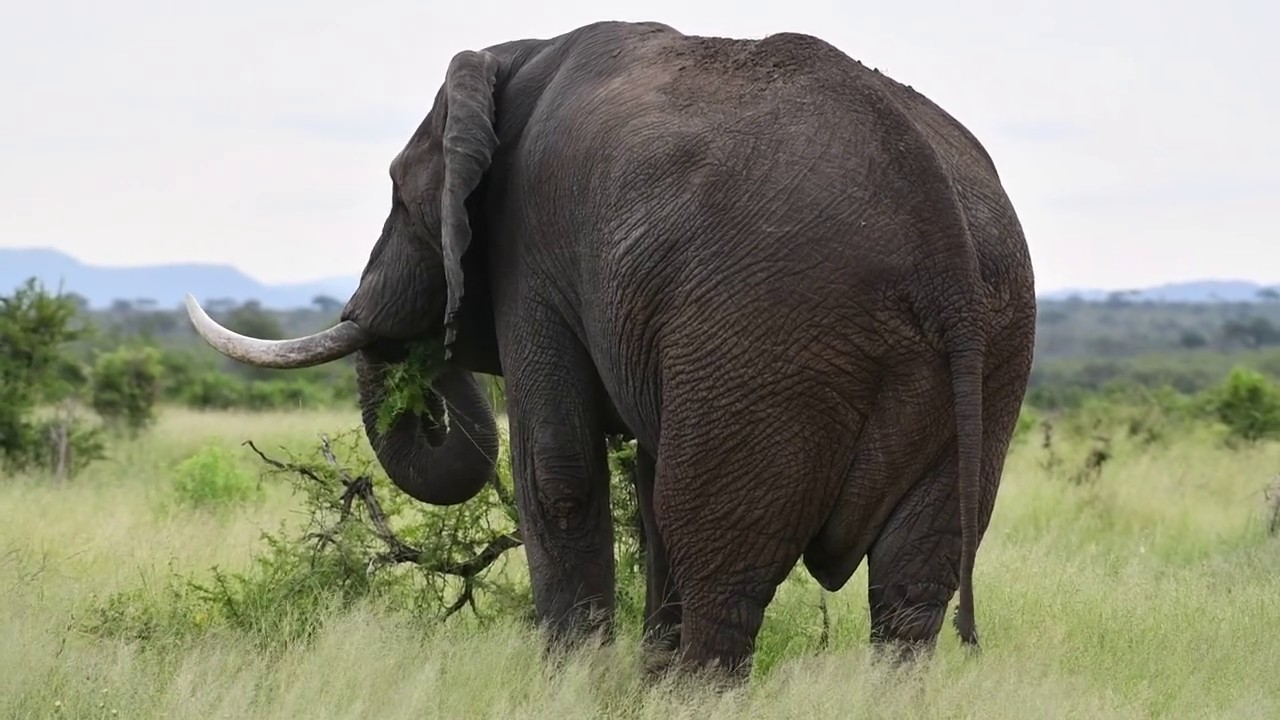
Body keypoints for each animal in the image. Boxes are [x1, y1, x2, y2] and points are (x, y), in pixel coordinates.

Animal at [185, 20, 1037, 680]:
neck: (514, 57)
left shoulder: (532, 251)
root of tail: (944, 241)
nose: (428, 344)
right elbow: (648, 494)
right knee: (911, 586)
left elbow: (558, 473)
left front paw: (571, 690)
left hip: (777, 336)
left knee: (723, 566)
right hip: (989, 350)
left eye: (398, 190)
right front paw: (634, 687)